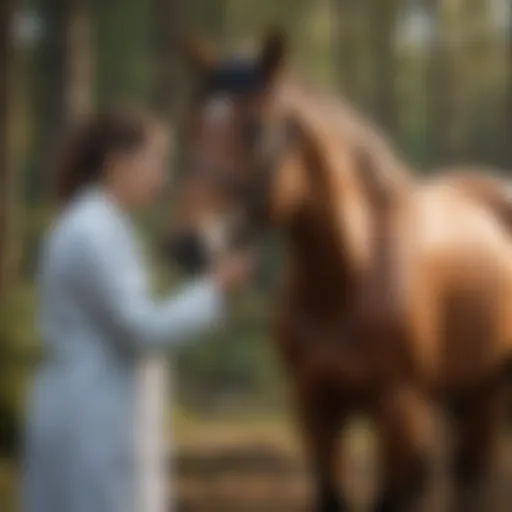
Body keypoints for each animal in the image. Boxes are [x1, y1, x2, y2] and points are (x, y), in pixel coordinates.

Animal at [168, 31, 512, 508]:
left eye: (257, 130)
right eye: (193, 126)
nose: (188, 244)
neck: (348, 279)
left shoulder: (399, 410)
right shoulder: (314, 406)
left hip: (484, 395)